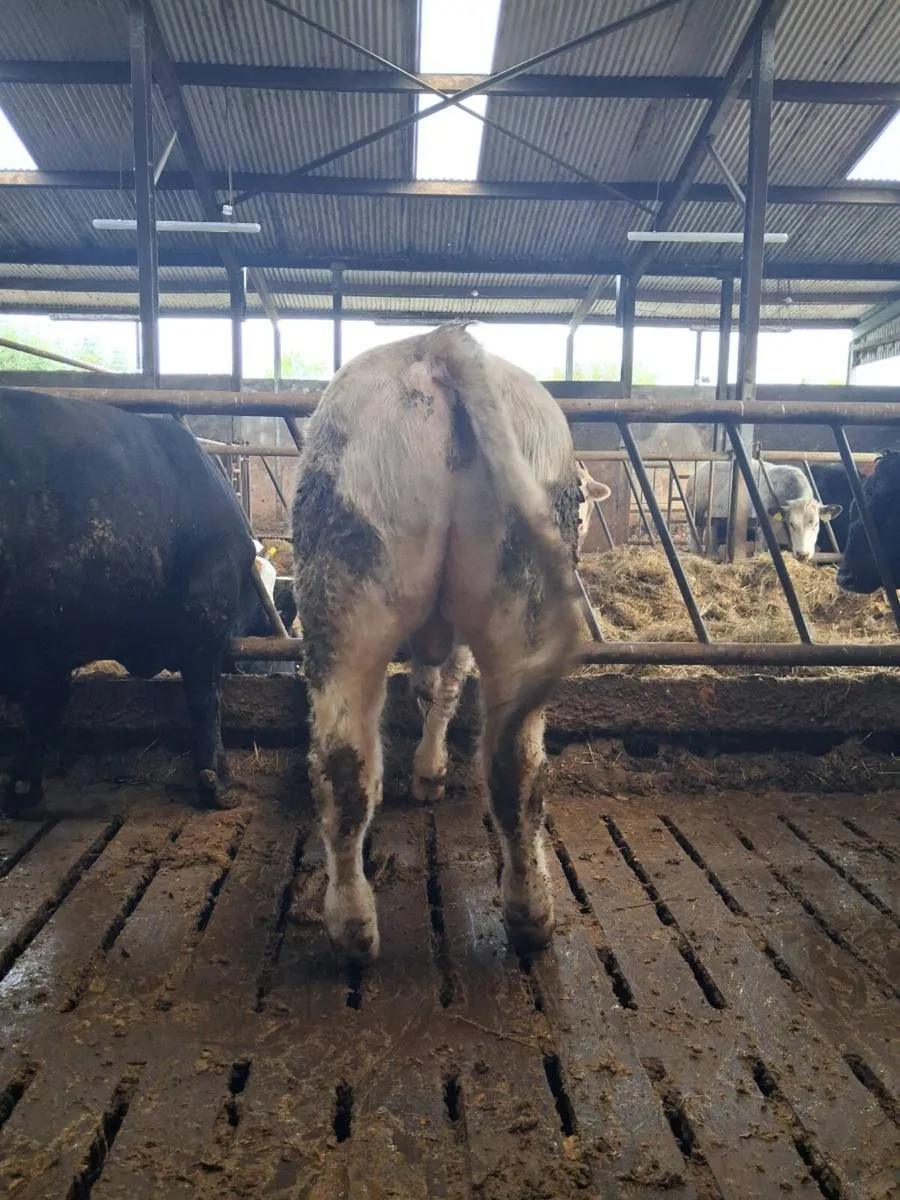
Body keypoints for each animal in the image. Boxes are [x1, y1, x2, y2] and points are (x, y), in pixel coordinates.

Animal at [0, 390, 257, 812]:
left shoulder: (48, 647)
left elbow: (45, 706)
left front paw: (24, 789)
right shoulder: (208, 610)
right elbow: (206, 699)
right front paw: (216, 784)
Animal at [292, 324, 591, 965]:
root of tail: (441, 342)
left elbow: (429, 689)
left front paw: (421, 774)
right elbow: (443, 689)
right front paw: (429, 773)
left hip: (346, 591)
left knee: (346, 760)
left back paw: (356, 928)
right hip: (514, 599)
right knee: (512, 764)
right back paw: (528, 913)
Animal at [685, 460, 841, 561]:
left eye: (816, 523)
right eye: (792, 523)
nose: (803, 554)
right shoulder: (762, 530)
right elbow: (761, 548)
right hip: (696, 511)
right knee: (695, 533)